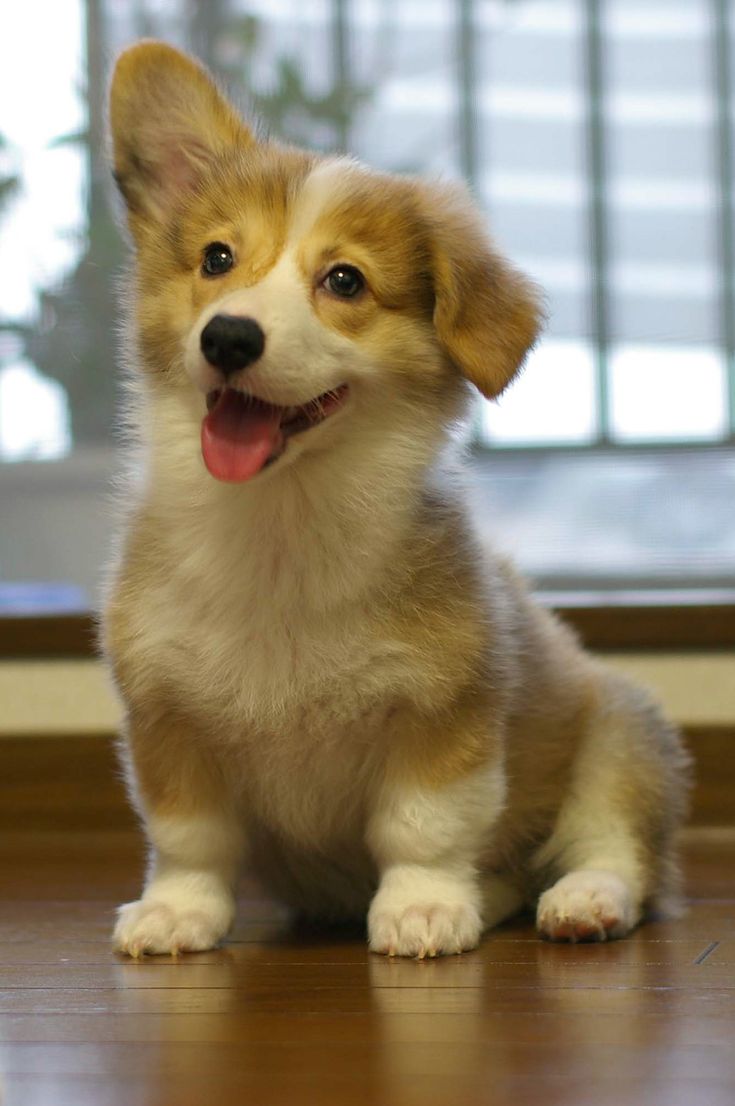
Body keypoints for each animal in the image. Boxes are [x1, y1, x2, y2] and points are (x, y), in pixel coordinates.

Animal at [103, 40, 689, 960]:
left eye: (344, 280)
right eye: (216, 260)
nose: (227, 337)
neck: (282, 522)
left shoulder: (444, 714)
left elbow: (422, 828)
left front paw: (422, 909)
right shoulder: (167, 719)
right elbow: (191, 838)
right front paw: (176, 913)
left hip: (621, 737)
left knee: (615, 849)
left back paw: (579, 903)